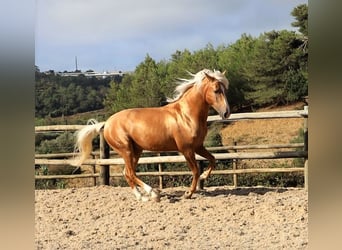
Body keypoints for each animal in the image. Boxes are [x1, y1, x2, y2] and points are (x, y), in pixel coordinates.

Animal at [74, 68, 230, 201]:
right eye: (216, 90)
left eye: (225, 89)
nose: (226, 113)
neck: (186, 115)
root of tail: (107, 123)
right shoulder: (186, 150)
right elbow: (196, 171)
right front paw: (188, 193)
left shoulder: (198, 147)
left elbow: (213, 159)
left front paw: (204, 176)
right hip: (126, 150)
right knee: (130, 173)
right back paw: (153, 193)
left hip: (135, 151)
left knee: (127, 172)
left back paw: (141, 196)